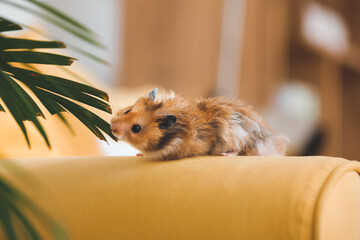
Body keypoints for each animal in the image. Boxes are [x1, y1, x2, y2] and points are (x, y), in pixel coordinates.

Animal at [109, 88, 286, 161]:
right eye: (127, 111)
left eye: (136, 128)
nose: (112, 127)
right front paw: (138, 154)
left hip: (234, 136)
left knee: (241, 148)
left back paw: (225, 155)